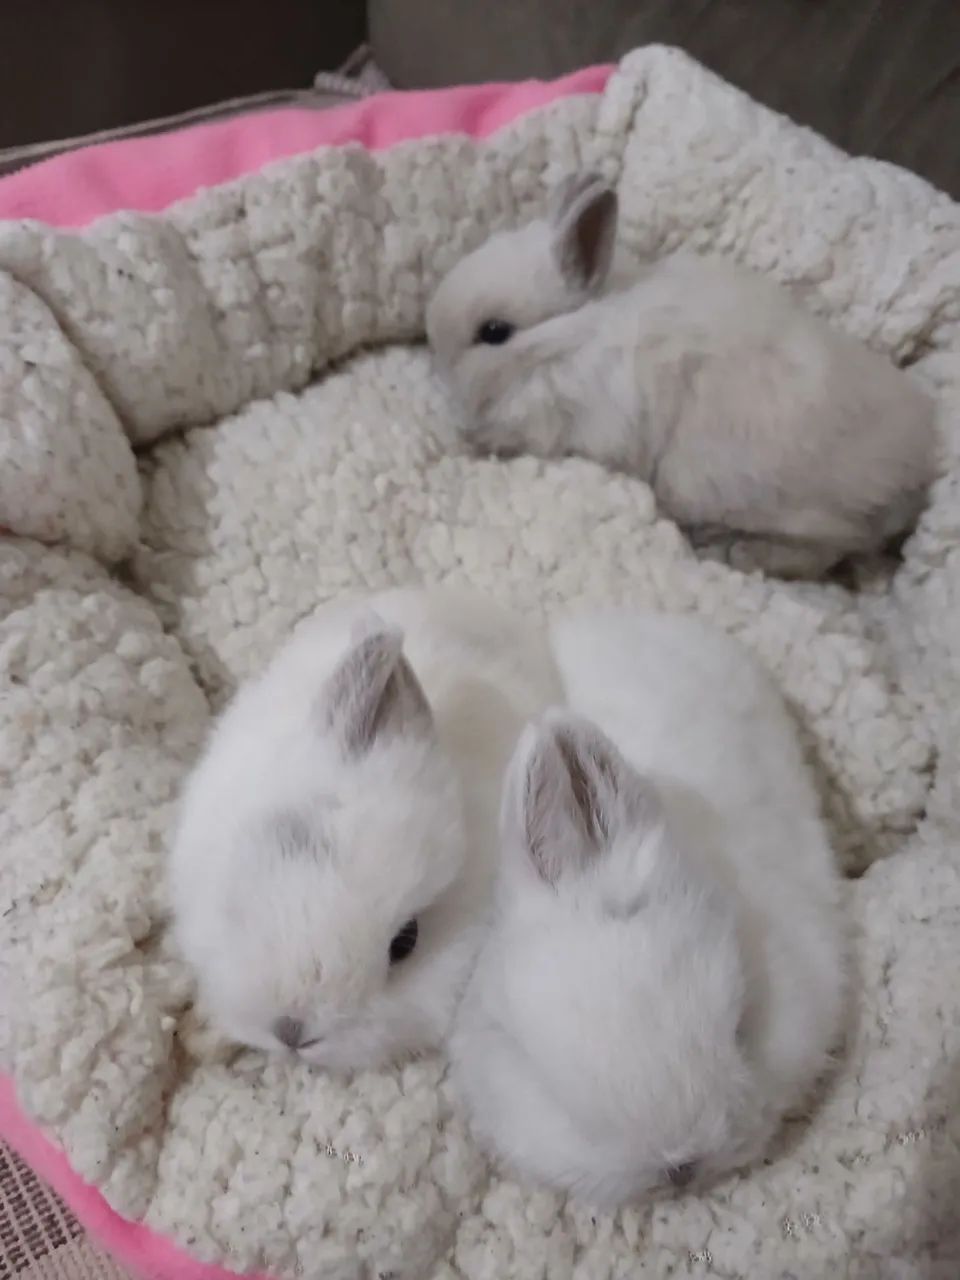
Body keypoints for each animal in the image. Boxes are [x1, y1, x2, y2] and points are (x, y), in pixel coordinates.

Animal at [427, 172, 937, 579]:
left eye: (494, 332)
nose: (438, 367)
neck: (569, 337)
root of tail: (915, 479)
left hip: (732, 490)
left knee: (830, 549)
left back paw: (733, 552)